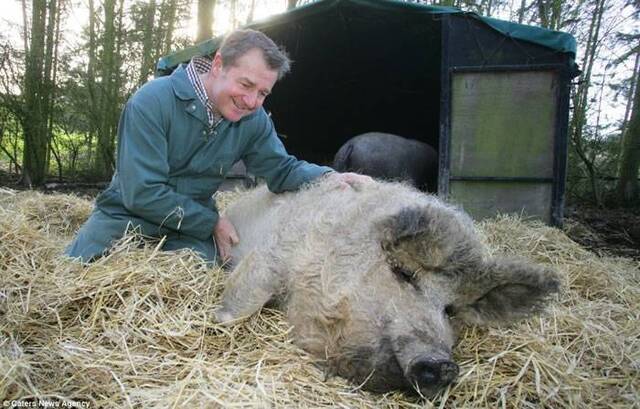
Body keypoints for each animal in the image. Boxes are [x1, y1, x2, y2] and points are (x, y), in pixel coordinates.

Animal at [216, 178, 560, 396]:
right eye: (403, 273)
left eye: (450, 309)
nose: (444, 365)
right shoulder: (274, 255)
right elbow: (245, 302)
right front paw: (221, 318)